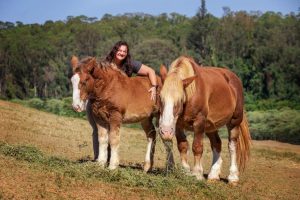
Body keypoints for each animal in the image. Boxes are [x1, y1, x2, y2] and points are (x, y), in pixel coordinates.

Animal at [158, 55, 252, 184]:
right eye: (160, 97)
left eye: (180, 99)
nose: (165, 131)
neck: (191, 93)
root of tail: (234, 79)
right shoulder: (178, 125)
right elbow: (182, 146)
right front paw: (185, 172)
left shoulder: (199, 122)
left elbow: (197, 147)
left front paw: (197, 174)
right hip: (211, 126)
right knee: (217, 143)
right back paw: (213, 175)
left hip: (234, 121)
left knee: (232, 145)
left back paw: (233, 177)